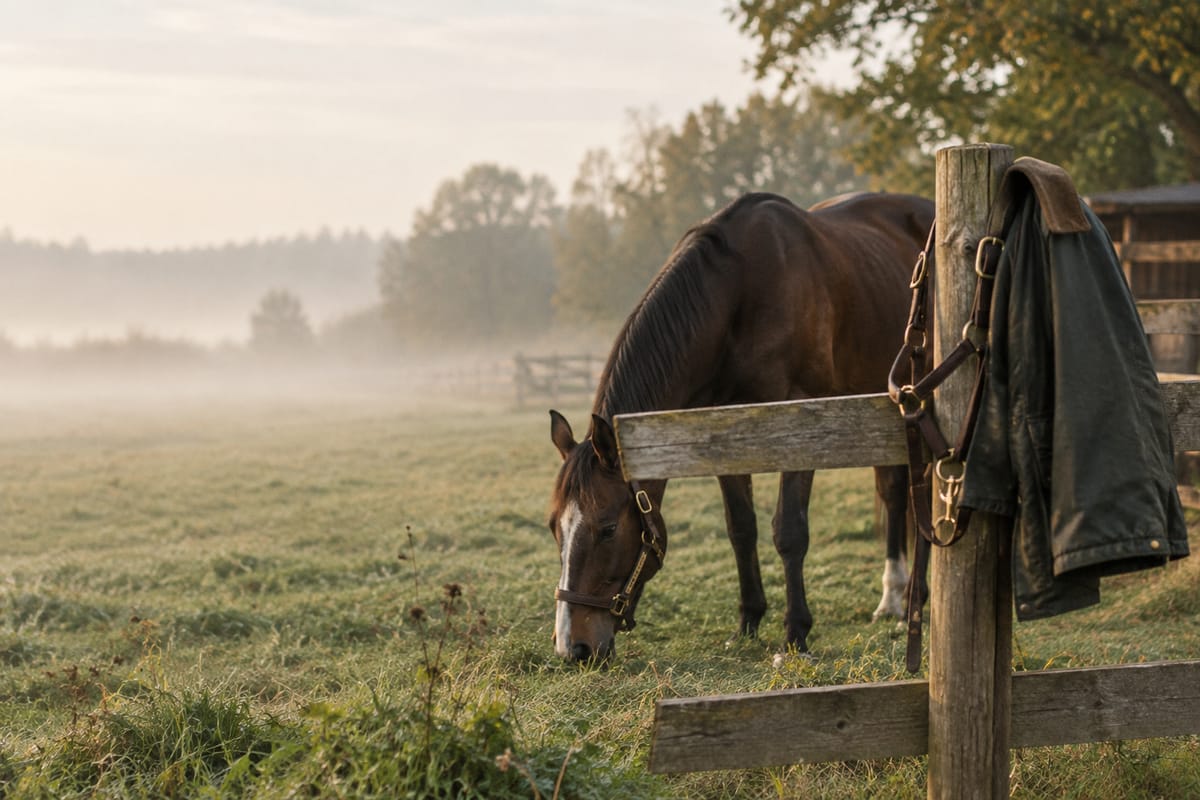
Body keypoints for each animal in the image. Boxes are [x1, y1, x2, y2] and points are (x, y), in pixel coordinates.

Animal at [547, 191, 934, 663]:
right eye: (554, 527)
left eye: (606, 528)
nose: (573, 646)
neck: (737, 295)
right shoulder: (722, 434)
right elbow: (741, 528)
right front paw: (748, 621)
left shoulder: (800, 427)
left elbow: (789, 531)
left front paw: (796, 632)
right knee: (895, 494)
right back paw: (893, 597)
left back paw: (917, 597)